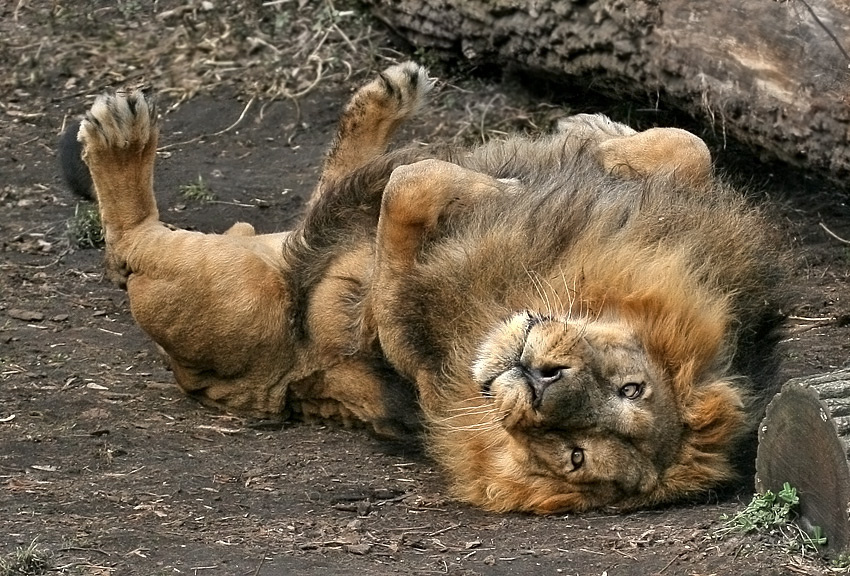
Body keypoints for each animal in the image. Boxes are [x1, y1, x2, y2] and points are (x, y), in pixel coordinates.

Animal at [73, 62, 786, 513]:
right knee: (329, 188)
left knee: (129, 248)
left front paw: (495, 186)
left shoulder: (395, 342)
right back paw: (390, 98)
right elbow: (688, 145)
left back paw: (119, 135)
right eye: (630, 387)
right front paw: (589, 143)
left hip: (233, 294)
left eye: (575, 456)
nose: (541, 381)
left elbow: (408, 200)